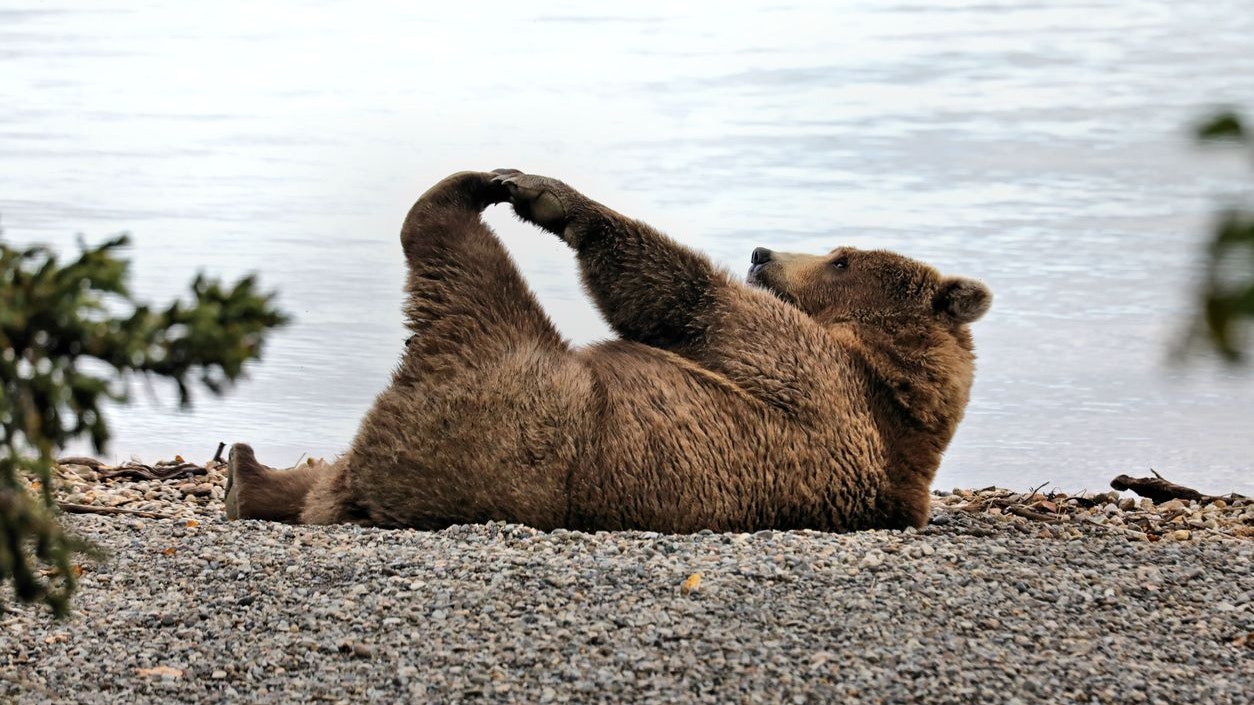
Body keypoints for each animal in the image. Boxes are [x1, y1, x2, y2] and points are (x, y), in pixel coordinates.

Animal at [225, 170, 988, 529]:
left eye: (841, 259)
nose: (762, 253)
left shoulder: (814, 377)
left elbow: (689, 301)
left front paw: (550, 198)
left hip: (506, 401)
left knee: (465, 276)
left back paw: (464, 192)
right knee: (319, 475)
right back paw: (247, 474)